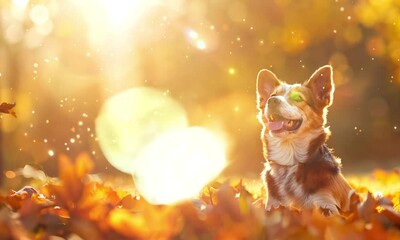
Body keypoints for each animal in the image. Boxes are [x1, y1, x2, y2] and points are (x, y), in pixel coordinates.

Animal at [256, 64, 354, 216]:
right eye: (272, 96)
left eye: (297, 98)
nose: (271, 101)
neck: (290, 163)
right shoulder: (273, 204)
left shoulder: (327, 204)